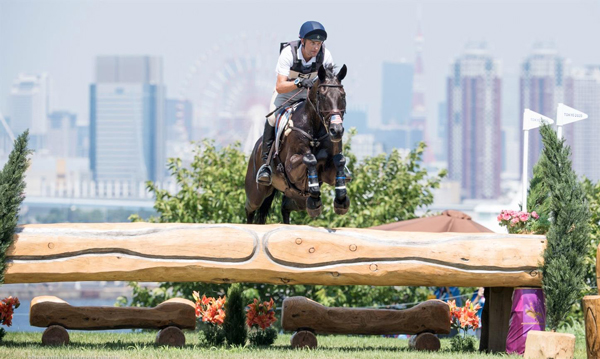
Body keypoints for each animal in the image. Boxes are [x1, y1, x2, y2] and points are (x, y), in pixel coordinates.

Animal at [244, 63, 350, 224]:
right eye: (322, 95)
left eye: (342, 95)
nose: (336, 131)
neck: (315, 129)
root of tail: (256, 147)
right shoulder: (291, 166)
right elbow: (309, 158)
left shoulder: (328, 171)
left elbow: (339, 160)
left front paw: (341, 201)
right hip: (256, 192)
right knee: (250, 208)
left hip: (297, 197)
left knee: (286, 206)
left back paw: (310, 205)